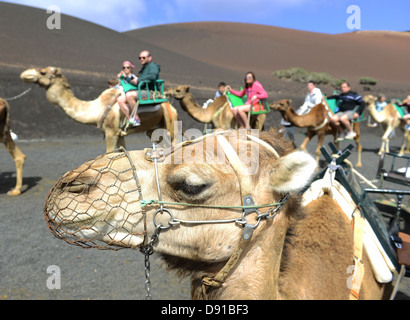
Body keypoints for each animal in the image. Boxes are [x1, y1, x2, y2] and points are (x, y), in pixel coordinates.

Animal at [20, 67, 178, 152]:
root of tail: (171, 107)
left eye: (42, 72)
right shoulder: (119, 134)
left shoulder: (111, 132)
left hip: (171, 121)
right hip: (154, 129)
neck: (97, 108)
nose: (24, 75)